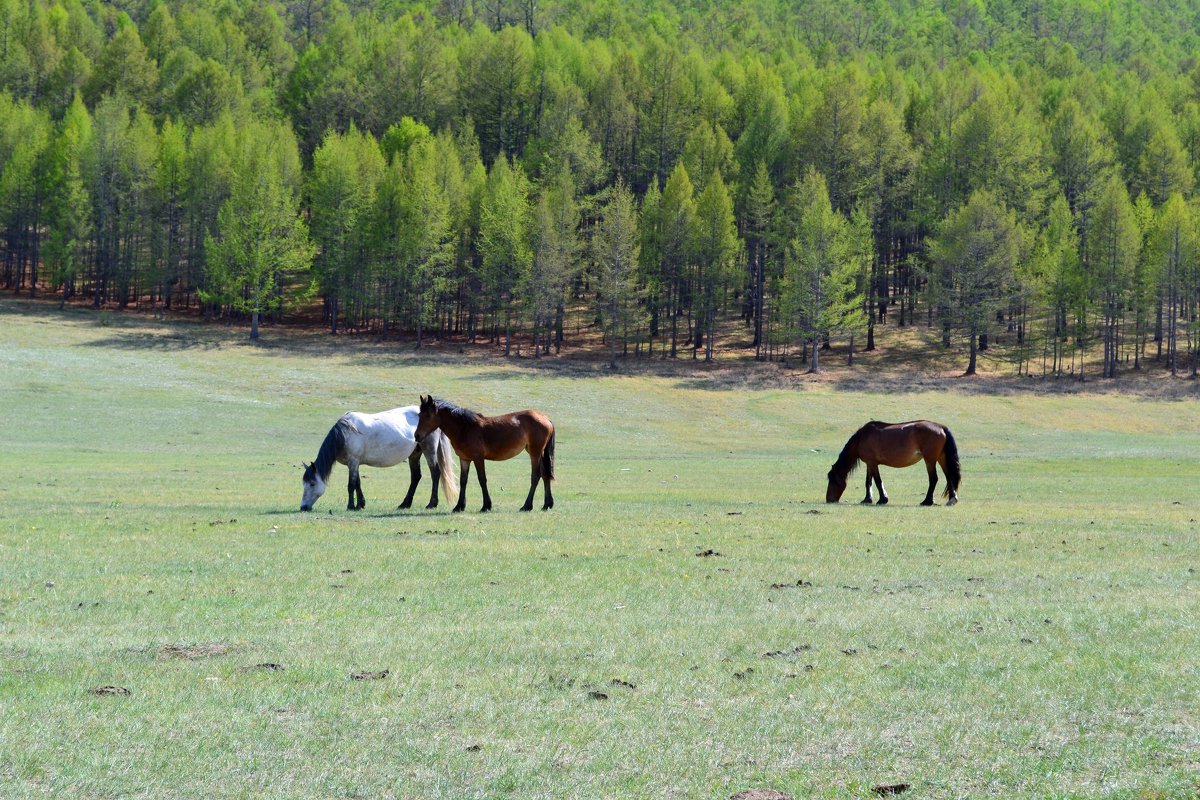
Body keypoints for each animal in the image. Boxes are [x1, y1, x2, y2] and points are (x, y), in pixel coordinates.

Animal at [300, 407, 458, 513]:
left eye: (312, 484)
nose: (303, 507)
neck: (345, 432)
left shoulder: (353, 461)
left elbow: (351, 485)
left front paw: (351, 506)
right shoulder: (355, 463)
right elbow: (357, 483)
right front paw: (360, 505)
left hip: (429, 450)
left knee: (435, 473)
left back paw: (431, 504)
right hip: (415, 453)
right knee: (416, 477)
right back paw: (405, 504)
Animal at [415, 393, 554, 513]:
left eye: (428, 415)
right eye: (419, 415)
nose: (417, 436)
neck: (465, 428)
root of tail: (546, 418)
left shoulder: (478, 458)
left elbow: (482, 479)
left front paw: (486, 506)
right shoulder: (464, 459)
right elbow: (463, 481)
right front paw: (459, 506)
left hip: (535, 453)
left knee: (536, 476)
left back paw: (527, 506)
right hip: (537, 453)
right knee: (545, 474)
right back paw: (547, 504)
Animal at [825, 422, 964, 503]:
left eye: (832, 481)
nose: (829, 500)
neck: (861, 438)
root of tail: (941, 427)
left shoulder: (873, 463)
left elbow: (877, 481)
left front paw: (883, 499)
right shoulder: (869, 464)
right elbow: (868, 482)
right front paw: (867, 499)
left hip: (930, 460)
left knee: (934, 478)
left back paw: (927, 501)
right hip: (941, 458)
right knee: (949, 477)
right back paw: (952, 499)